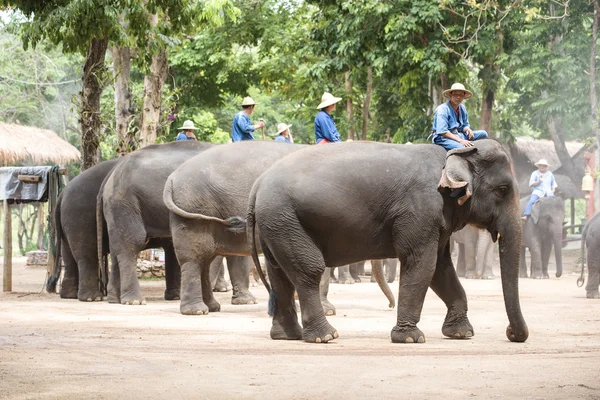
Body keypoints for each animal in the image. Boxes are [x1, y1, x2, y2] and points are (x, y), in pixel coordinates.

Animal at [246, 138, 528, 344]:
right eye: (503, 190)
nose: (511, 333)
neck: (454, 154)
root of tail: (257, 185)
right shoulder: (420, 210)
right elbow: (422, 264)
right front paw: (410, 338)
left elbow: (441, 269)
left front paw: (461, 334)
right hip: (284, 218)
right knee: (309, 269)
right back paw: (326, 336)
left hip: (276, 223)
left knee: (279, 273)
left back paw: (287, 336)